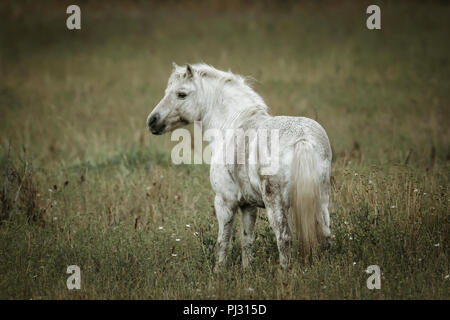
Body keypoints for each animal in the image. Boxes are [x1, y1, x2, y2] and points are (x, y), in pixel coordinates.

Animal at [146, 63, 332, 270]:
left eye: (181, 94)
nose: (152, 121)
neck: (231, 125)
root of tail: (303, 140)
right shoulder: (248, 205)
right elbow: (246, 240)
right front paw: (246, 271)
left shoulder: (225, 202)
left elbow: (223, 242)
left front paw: (218, 272)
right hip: (321, 200)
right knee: (325, 236)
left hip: (274, 203)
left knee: (284, 238)